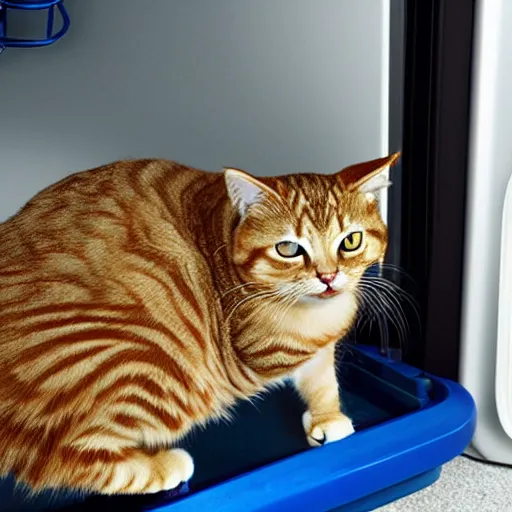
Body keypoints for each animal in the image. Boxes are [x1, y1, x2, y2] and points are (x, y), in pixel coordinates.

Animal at [0, 153, 400, 496]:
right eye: (288, 249)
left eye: (351, 240)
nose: (329, 277)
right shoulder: (267, 347)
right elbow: (314, 353)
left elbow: (323, 377)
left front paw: (328, 417)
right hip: (138, 359)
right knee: (56, 461)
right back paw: (165, 465)